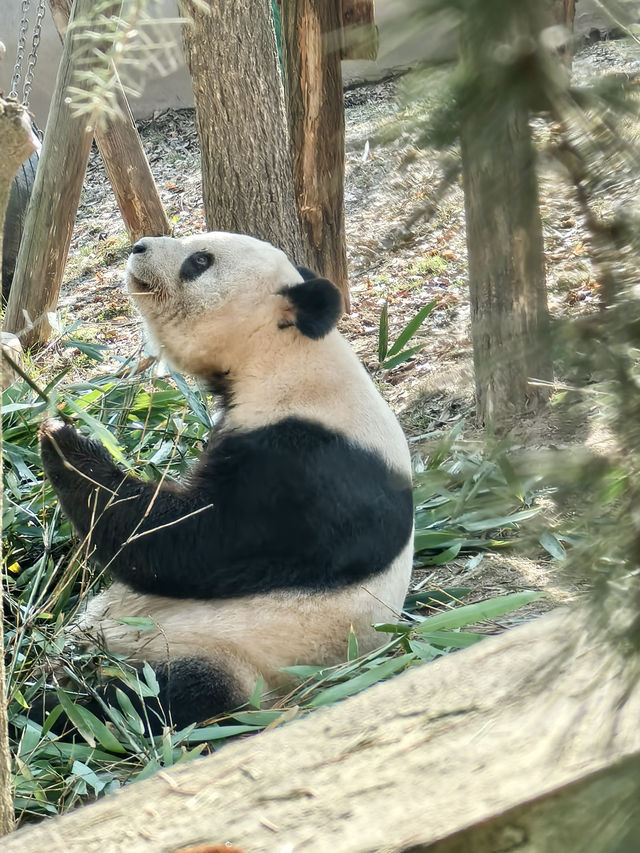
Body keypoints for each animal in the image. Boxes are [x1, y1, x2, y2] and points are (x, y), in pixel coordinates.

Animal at [42, 230, 418, 728]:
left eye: (200, 261)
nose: (138, 247)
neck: (289, 356)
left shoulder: (303, 466)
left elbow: (186, 543)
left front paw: (66, 445)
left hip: (223, 657)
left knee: (148, 698)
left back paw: (64, 700)